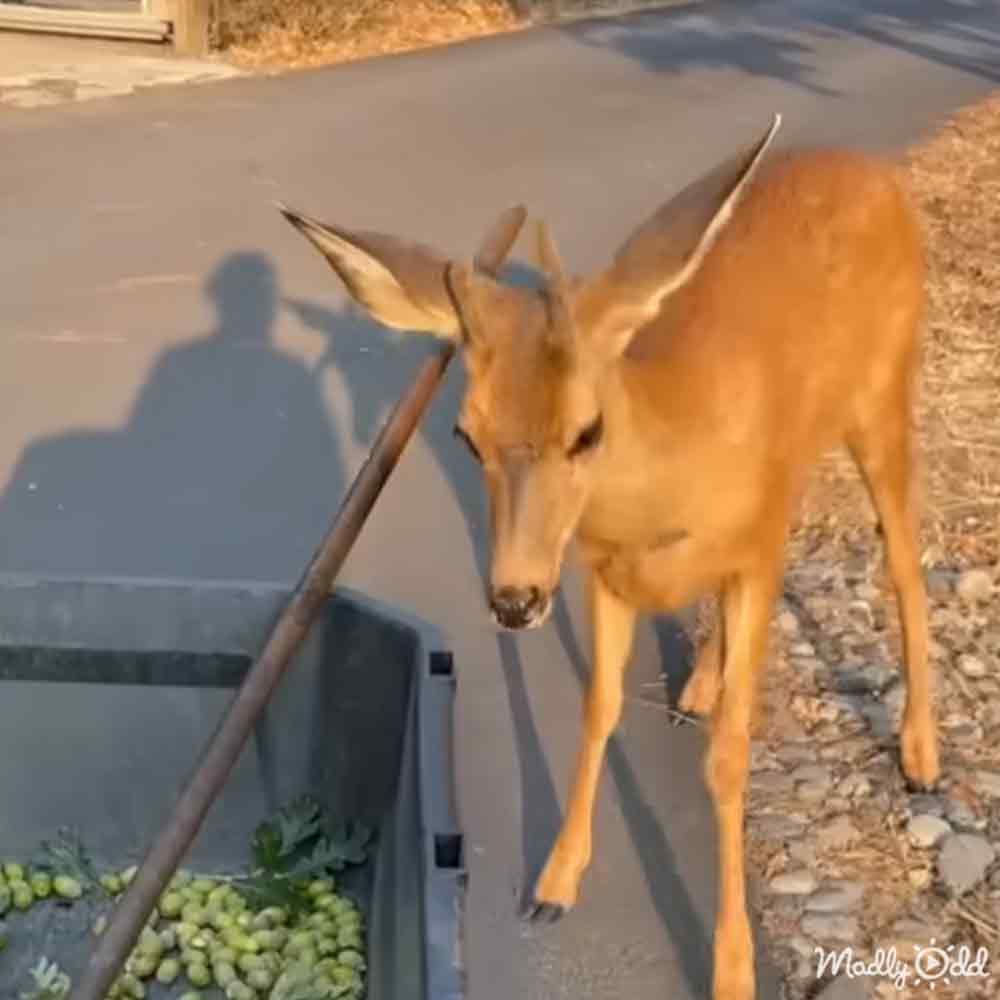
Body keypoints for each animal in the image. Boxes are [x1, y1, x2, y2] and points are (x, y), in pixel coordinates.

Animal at [276, 114, 940, 1000]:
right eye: (466, 433)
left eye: (586, 430)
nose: (513, 598)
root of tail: (874, 172)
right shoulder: (602, 573)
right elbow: (600, 708)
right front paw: (555, 884)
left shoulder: (751, 556)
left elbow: (730, 758)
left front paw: (733, 970)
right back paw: (699, 685)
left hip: (885, 396)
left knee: (904, 558)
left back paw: (922, 754)